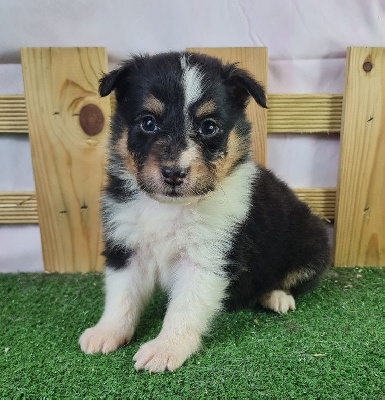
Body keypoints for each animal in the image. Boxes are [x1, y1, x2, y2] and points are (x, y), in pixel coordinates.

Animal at [79, 51, 330, 374]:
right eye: (148, 122)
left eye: (208, 127)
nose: (174, 173)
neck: (170, 208)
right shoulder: (127, 247)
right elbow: (121, 297)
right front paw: (106, 333)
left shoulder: (207, 258)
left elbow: (183, 309)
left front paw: (163, 350)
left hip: (310, 245)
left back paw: (276, 296)